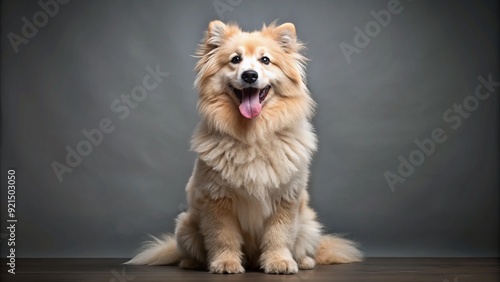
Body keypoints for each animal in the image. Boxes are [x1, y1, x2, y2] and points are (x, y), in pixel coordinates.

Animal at [125, 20, 362, 274]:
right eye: (235, 59)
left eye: (265, 60)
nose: (249, 75)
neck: (253, 134)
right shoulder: (218, 200)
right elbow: (223, 236)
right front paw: (225, 263)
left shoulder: (285, 200)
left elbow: (278, 235)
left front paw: (279, 261)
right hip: (185, 225)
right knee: (192, 251)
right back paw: (192, 263)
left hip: (309, 224)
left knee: (303, 247)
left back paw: (304, 261)